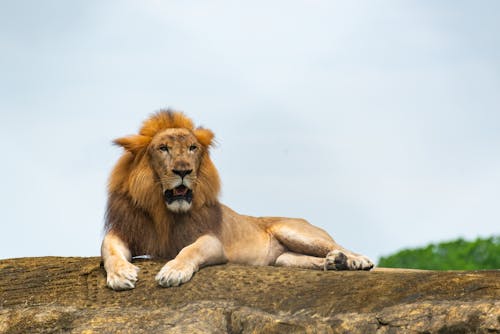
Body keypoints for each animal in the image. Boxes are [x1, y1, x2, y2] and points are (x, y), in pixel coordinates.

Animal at [101, 109, 374, 290]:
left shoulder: (213, 241)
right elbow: (108, 247)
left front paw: (173, 271)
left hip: (295, 231)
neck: (163, 210)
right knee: (306, 259)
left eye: (192, 148)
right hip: (283, 259)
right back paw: (335, 263)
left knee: (339, 245)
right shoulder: (128, 230)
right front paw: (120, 275)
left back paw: (356, 260)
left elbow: (190, 249)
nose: (183, 171)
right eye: (163, 148)